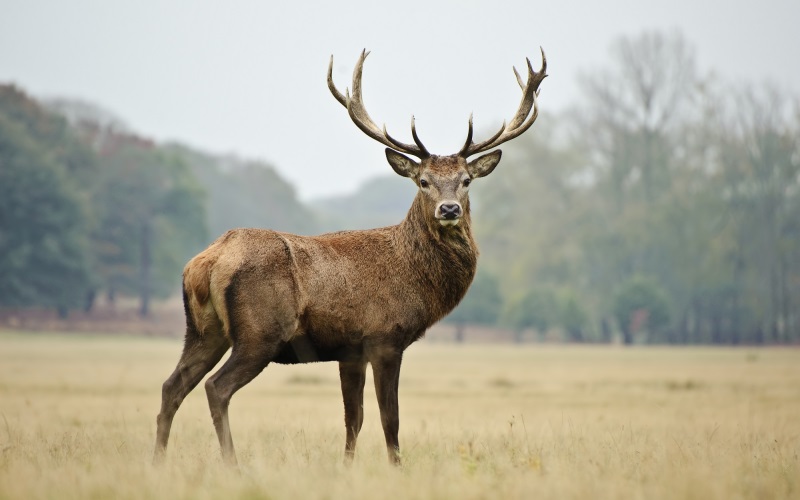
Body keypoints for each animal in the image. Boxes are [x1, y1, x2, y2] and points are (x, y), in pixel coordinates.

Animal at [153, 48, 548, 466]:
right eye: (423, 181)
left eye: (466, 180)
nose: (450, 209)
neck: (414, 278)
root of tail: (207, 262)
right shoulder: (385, 337)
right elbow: (390, 418)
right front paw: (396, 467)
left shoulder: (350, 350)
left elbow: (353, 418)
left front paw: (347, 466)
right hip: (259, 332)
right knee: (216, 387)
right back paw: (232, 464)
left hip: (203, 330)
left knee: (171, 386)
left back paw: (158, 461)